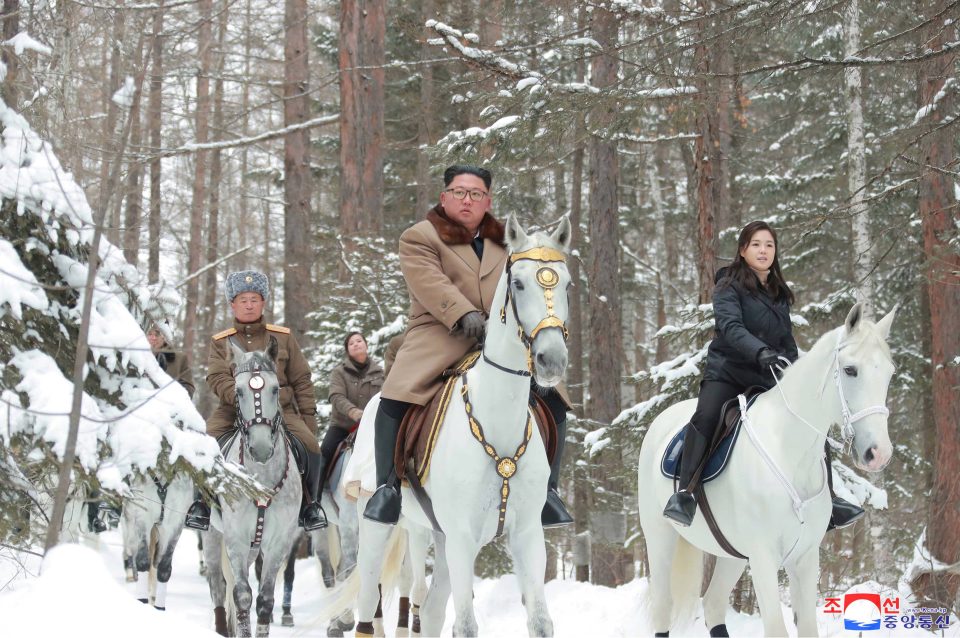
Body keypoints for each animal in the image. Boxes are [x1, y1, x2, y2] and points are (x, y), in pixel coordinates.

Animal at [120, 472, 193, 612]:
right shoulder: (142, 515)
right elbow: (143, 561)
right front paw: (142, 600)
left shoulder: (175, 523)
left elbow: (164, 567)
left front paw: (159, 608)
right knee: (130, 549)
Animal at [199, 338, 296, 636]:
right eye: (238, 391)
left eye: (275, 389)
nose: (261, 448)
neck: (260, 480)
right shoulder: (235, 538)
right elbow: (241, 595)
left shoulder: (280, 542)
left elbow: (264, 600)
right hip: (212, 537)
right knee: (218, 585)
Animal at [356, 216, 572, 638]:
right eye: (519, 284)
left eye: (568, 284)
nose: (552, 359)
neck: (498, 425)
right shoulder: (460, 536)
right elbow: (466, 626)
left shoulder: (526, 535)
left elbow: (540, 621)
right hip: (381, 528)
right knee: (367, 604)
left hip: (439, 538)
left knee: (432, 611)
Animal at [636, 304, 900, 638]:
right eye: (851, 370)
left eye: (889, 373)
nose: (879, 454)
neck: (788, 451)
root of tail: (661, 421)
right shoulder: (763, 558)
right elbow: (776, 628)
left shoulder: (804, 558)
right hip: (660, 537)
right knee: (663, 606)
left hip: (733, 555)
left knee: (713, 604)